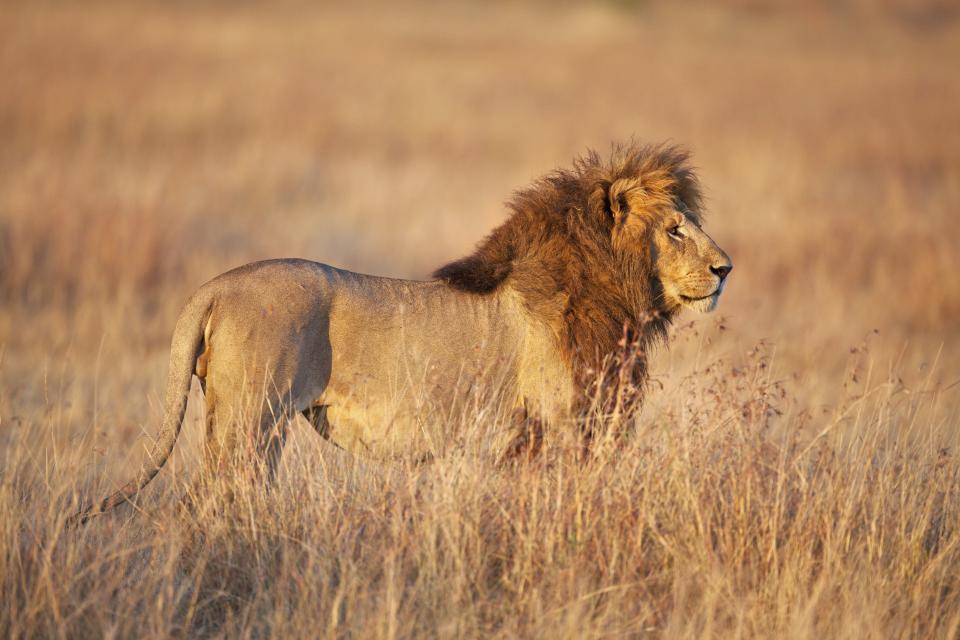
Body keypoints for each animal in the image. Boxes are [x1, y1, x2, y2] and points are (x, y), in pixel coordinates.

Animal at [71, 141, 732, 524]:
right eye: (675, 230)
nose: (726, 268)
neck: (612, 290)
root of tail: (215, 285)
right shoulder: (556, 428)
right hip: (249, 417)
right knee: (213, 498)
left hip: (249, 423)